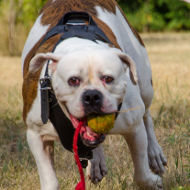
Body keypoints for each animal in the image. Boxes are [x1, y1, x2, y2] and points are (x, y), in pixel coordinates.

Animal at [22, 0, 167, 189]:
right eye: (73, 80)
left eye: (108, 78)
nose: (92, 95)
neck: (80, 45)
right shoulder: (36, 135)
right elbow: (50, 181)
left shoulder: (134, 128)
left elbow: (141, 173)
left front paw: (152, 182)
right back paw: (96, 162)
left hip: (144, 83)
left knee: (147, 116)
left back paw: (155, 153)